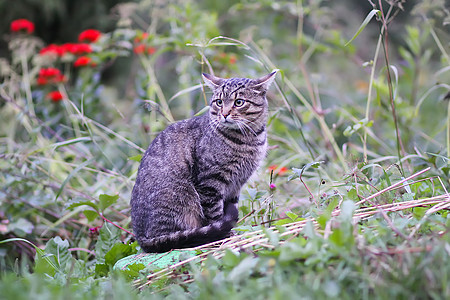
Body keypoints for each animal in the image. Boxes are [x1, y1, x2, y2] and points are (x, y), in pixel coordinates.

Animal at [130, 69, 276, 251]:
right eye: (219, 102)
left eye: (239, 102)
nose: (224, 114)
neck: (250, 139)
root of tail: (141, 238)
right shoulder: (210, 182)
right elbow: (216, 214)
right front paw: (225, 236)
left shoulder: (236, 185)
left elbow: (231, 207)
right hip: (180, 195)